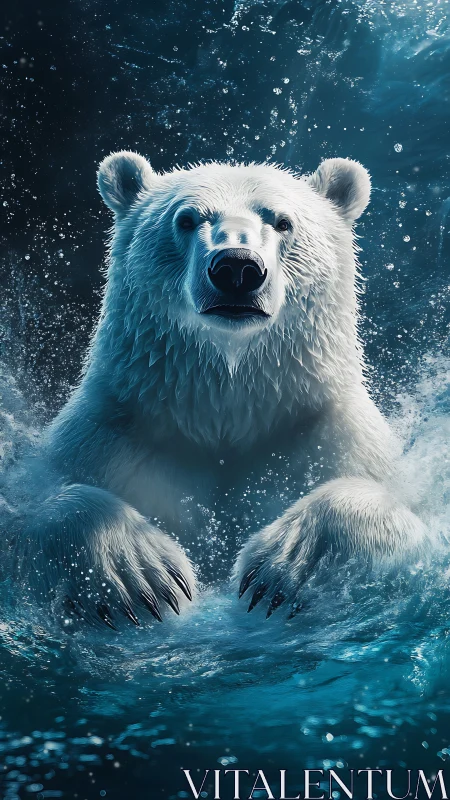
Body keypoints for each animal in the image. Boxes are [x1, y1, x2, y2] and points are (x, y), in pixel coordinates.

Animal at [15, 151, 431, 627]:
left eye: (283, 221)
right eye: (187, 218)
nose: (236, 267)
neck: (223, 411)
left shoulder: (336, 439)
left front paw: (287, 564)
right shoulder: (105, 438)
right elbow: (32, 514)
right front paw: (138, 569)